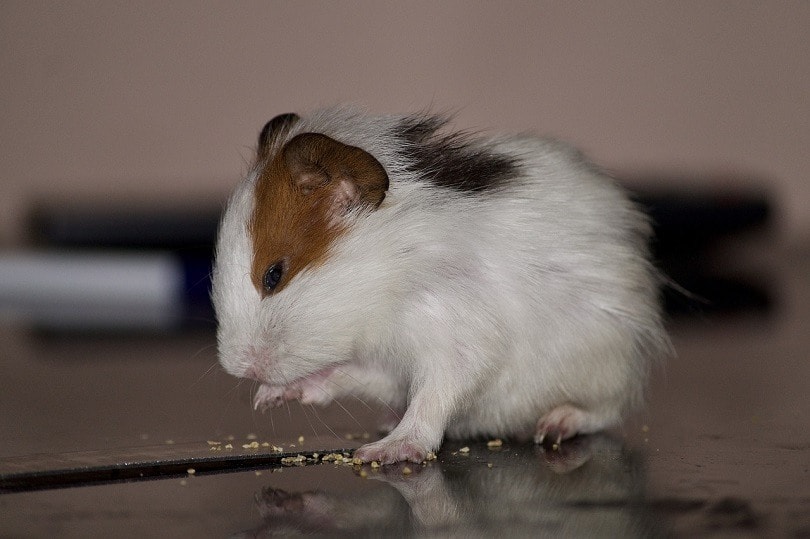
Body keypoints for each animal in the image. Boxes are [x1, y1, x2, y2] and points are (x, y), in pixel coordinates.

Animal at [212, 106, 669, 464]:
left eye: (274, 274)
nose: (238, 368)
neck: (389, 278)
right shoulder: (385, 363)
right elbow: (344, 375)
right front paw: (269, 397)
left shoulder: (457, 339)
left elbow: (433, 400)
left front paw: (384, 453)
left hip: (609, 367)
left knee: (605, 412)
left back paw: (553, 425)